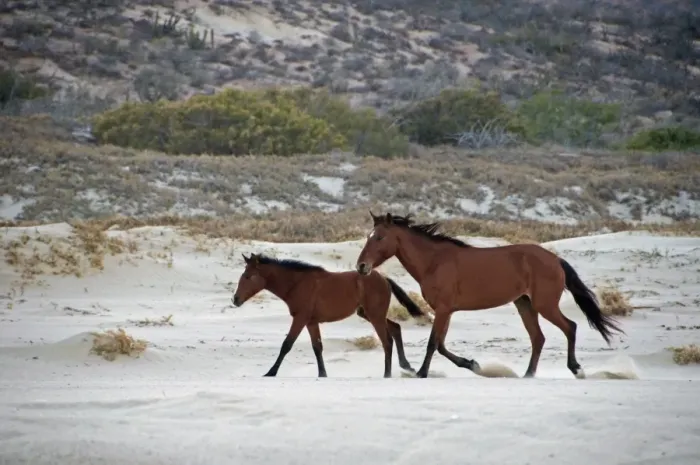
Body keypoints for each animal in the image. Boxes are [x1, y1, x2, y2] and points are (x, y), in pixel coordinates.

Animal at [231, 252, 429, 378]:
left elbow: (286, 345)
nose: (235, 299)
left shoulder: (300, 318)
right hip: (369, 314)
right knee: (395, 329)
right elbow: (317, 347)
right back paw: (406, 365)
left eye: (248, 276)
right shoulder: (311, 322)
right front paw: (322, 373)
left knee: (387, 341)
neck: (296, 283)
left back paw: (387, 374)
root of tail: (384, 279)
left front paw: (271, 372)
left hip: (375, 315)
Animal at [354, 212, 625, 379]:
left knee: (570, 327)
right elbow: (441, 345)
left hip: (544, 304)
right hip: (524, 304)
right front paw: (472, 364)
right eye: (368, 236)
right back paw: (528, 375)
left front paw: (421, 372)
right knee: (538, 338)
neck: (434, 261)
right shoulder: (447, 311)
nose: (361, 266)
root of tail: (556, 260)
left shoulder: (443, 309)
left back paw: (576, 369)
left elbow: (433, 344)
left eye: (380, 237)